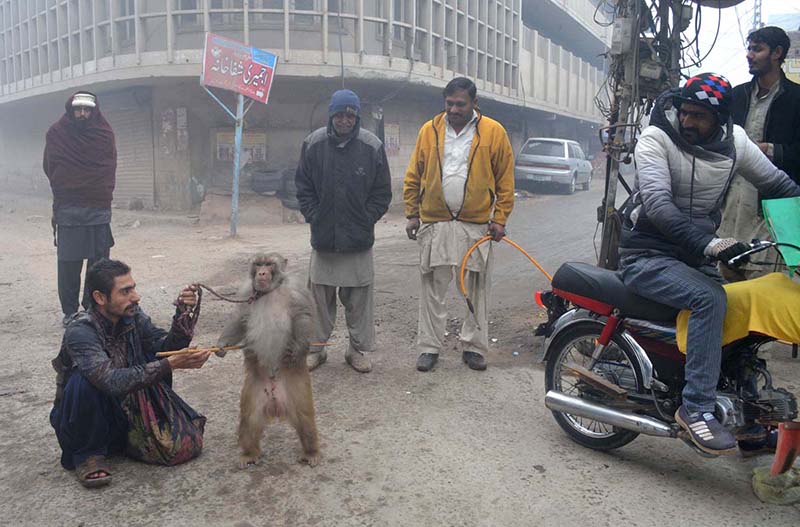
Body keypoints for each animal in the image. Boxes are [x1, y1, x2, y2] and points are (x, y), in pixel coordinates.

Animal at [219, 254, 322, 468]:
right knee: (249, 421)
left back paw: (311, 452)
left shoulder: (296, 290)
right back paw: (249, 454)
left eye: (269, 264)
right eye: (258, 264)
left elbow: (302, 315)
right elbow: (240, 318)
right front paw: (222, 344)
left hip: (295, 387)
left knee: (305, 419)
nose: (262, 273)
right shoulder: (247, 292)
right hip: (255, 389)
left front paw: (299, 349)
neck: (269, 291)